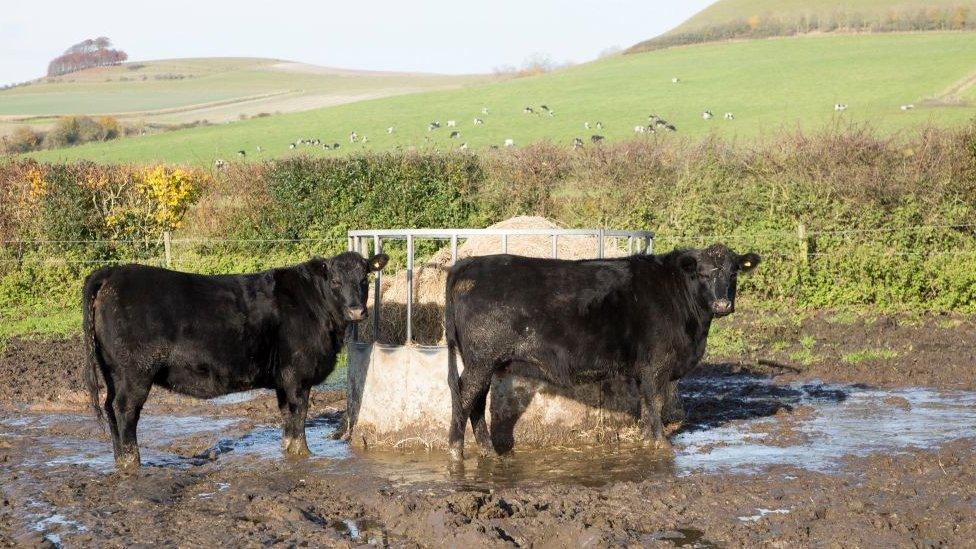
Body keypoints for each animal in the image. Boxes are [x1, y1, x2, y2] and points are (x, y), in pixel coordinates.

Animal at [81, 250, 386, 468]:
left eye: (364, 279)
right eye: (335, 281)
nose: (357, 310)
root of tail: (114, 271)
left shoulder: (283, 379)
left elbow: (287, 416)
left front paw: (288, 451)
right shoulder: (297, 375)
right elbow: (298, 415)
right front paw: (303, 454)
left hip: (112, 371)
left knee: (109, 407)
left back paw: (120, 458)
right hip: (135, 372)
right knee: (125, 410)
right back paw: (132, 462)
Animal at [446, 244, 760, 458]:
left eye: (734, 273)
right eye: (703, 274)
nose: (723, 305)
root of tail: (470, 263)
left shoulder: (644, 369)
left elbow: (645, 403)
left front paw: (646, 438)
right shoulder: (658, 364)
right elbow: (656, 401)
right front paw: (661, 444)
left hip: (484, 362)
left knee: (477, 401)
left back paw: (487, 451)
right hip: (481, 361)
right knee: (464, 396)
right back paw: (455, 451)